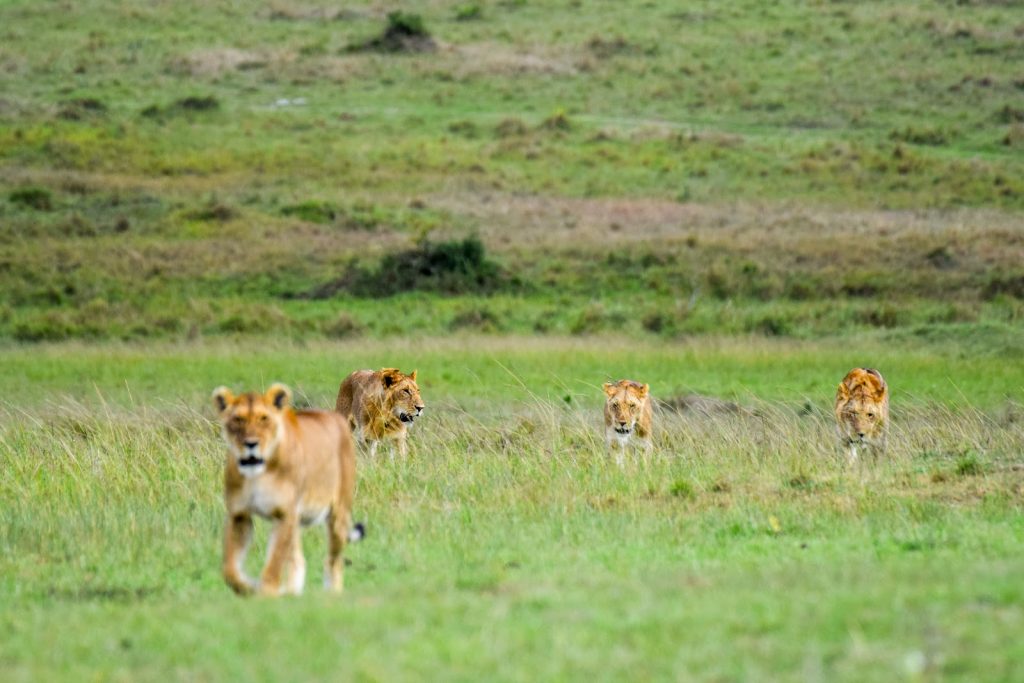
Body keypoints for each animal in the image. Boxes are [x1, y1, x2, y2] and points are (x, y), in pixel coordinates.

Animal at [212, 383, 363, 597]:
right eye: (238, 419)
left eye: (264, 418)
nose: (251, 444)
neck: (258, 473)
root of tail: (335, 416)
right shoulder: (239, 515)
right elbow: (230, 570)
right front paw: (250, 587)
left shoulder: (284, 514)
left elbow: (274, 563)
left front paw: (266, 593)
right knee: (298, 559)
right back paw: (291, 592)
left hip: (338, 513)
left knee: (334, 561)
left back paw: (331, 593)